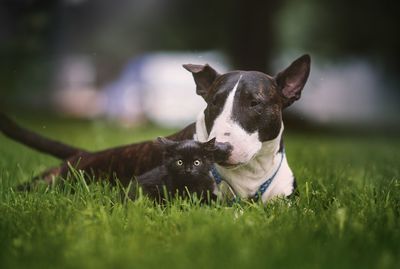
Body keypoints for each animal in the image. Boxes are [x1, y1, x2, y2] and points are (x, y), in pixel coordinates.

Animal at [0, 54, 310, 201]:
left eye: (254, 103)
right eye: (213, 104)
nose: (221, 148)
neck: (250, 175)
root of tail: (82, 155)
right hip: (53, 181)